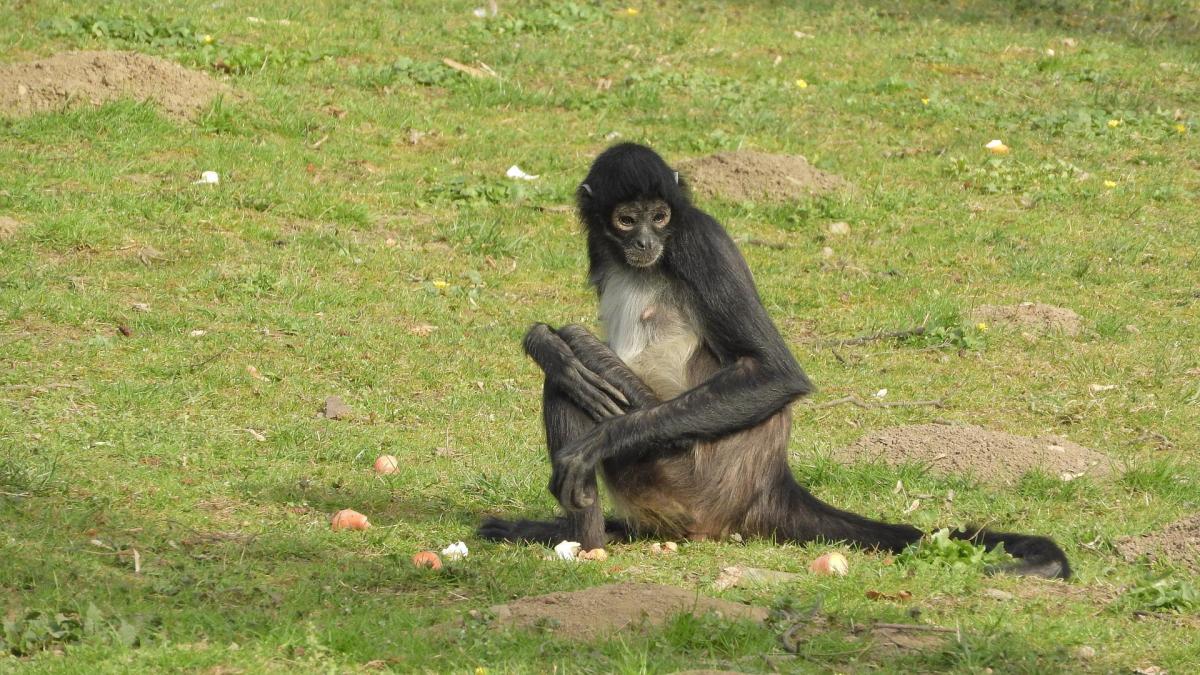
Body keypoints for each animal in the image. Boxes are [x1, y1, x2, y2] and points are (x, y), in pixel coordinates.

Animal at [479, 143, 1070, 579]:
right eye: (626, 220)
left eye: (660, 216)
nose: (646, 240)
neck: (642, 260)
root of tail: (770, 482)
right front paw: (540, 340)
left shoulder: (698, 240)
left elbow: (775, 374)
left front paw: (591, 428)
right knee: (569, 377)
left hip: (684, 474)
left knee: (573, 376)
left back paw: (586, 541)